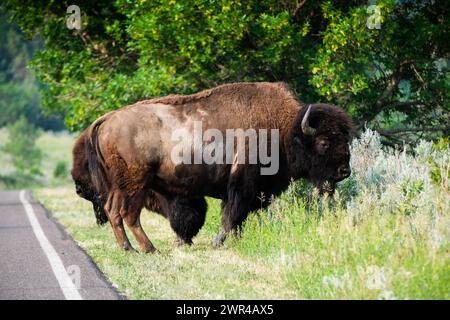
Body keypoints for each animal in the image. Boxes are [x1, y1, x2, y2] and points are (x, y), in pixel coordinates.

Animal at [71, 82, 352, 252]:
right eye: (324, 142)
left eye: (346, 139)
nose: (344, 171)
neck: (284, 128)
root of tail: (107, 120)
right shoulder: (241, 185)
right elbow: (232, 215)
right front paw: (219, 242)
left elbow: (235, 218)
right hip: (133, 183)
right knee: (127, 213)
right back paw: (147, 249)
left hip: (123, 186)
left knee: (114, 211)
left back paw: (130, 248)